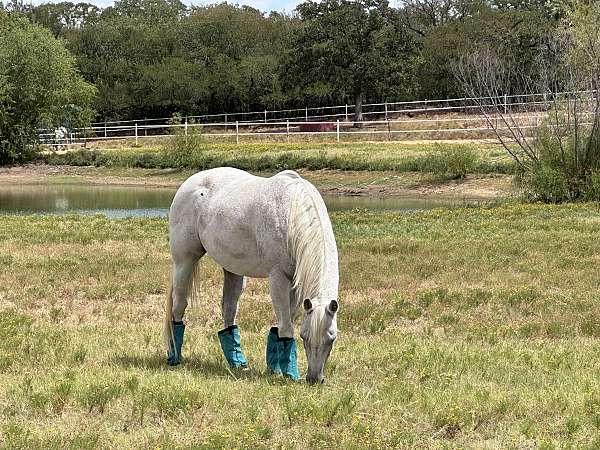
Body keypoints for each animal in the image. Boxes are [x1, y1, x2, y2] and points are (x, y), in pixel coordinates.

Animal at [164, 166, 340, 384]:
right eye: (304, 336)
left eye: (332, 338)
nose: (314, 379)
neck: (292, 214)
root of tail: (190, 182)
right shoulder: (278, 277)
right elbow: (286, 326)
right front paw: (289, 373)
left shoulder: (295, 285)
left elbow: (283, 323)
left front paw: (274, 368)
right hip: (184, 262)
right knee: (178, 307)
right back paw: (174, 357)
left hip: (232, 271)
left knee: (229, 311)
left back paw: (237, 362)